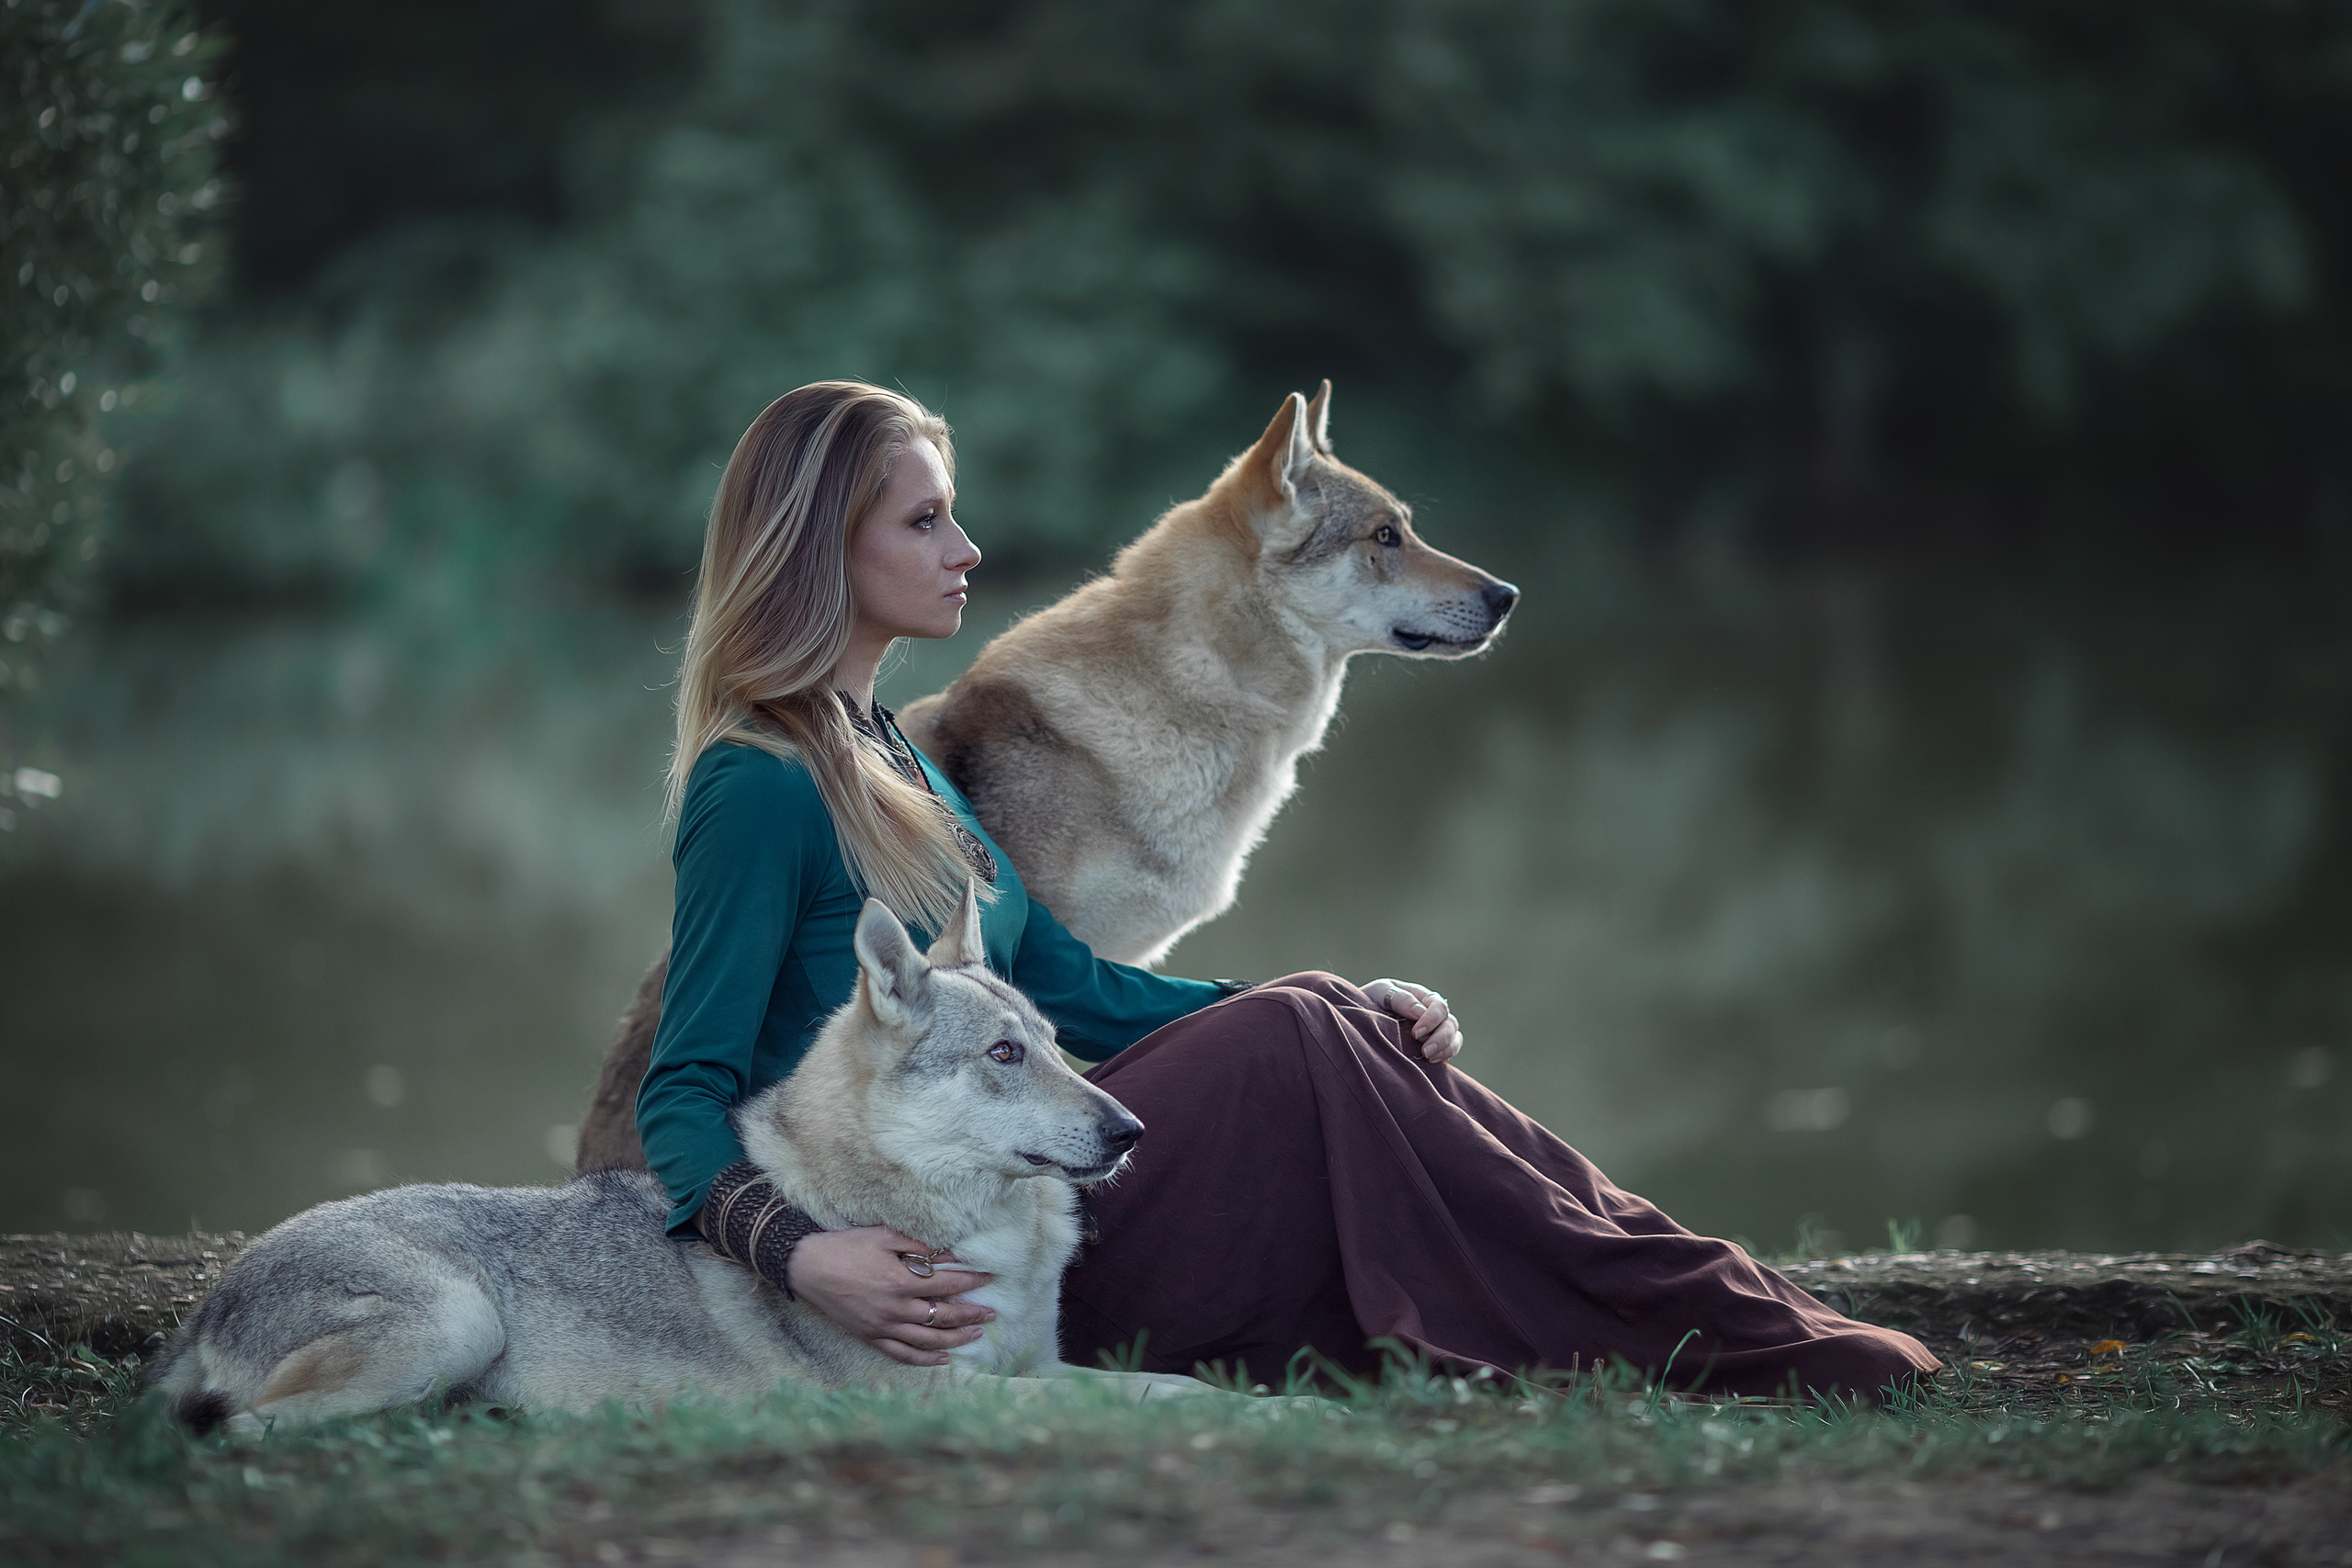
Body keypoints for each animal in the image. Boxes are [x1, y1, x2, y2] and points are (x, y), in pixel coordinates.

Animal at [148, 887, 1197, 1431]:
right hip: (455, 1323)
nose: (1133, 1130)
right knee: (237, 1431)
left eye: (1055, 1043)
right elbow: (1130, 1402)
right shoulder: (935, 1396)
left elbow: (1145, 1381)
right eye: (1004, 1055)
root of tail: (210, 1294)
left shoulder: (1039, 1364)